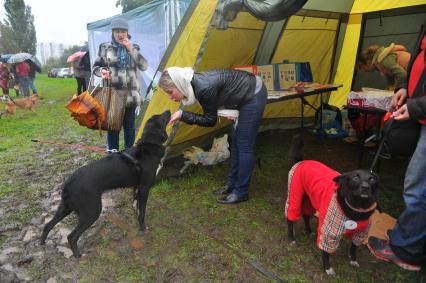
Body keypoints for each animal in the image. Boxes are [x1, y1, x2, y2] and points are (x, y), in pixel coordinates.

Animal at [40, 111, 171, 260]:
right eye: (162, 117)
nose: (168, 111)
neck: (148, 147)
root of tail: (69, 181)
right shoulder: (144, 188)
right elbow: (142, 211)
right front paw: (143, 229)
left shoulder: (136, 187)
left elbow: (136, 207)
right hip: (92, 211)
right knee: (71, 236)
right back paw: (78, 255)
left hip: (65, 207)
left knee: (48, 225)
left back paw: (42, 242)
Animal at [284, 134, 378, 276]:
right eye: (355, 178)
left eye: (371, 179)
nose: (365, 187)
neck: (357, 207)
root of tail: (301, 161)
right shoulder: (330, 233)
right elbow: (326, 252)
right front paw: (327, 268)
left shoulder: (361, 233)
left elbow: (354, 247)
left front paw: (353, 259)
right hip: (295, 196)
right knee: (291, 217)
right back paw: (291, 238)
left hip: (309, 200)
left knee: (306, 215)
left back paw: (309, 231)